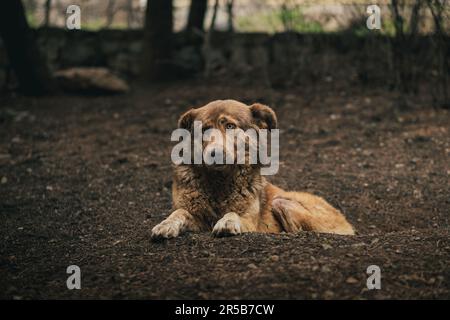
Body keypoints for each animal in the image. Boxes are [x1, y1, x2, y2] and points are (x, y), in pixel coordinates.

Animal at [151, 100, 356, 240]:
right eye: (205, 130)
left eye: (230, 126)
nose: (215, 153)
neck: (219, 181)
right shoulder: (194, 214)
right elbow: (179, 213)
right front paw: (165, 224)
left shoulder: (249, 220)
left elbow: (233, 214)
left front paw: (227, 222)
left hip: (282, 202)